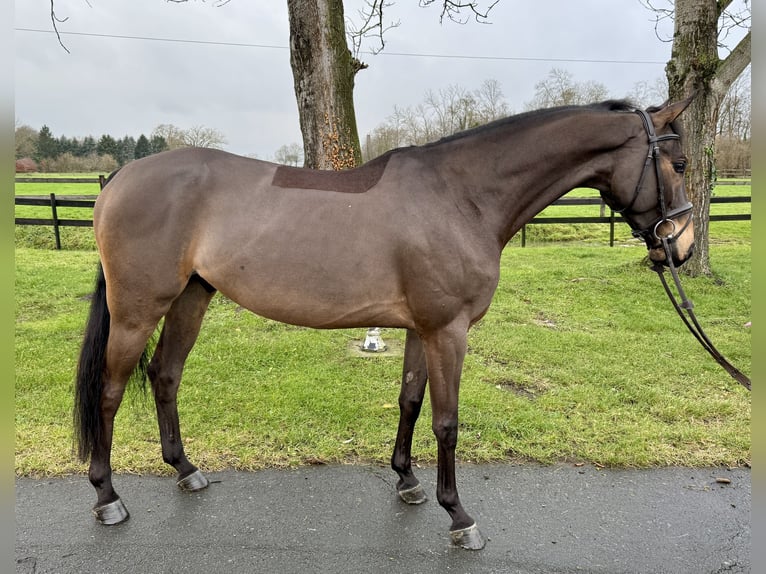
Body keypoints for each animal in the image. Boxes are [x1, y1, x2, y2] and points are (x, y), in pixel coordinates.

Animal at [74, 97, 695, 550]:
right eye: (681, 164)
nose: (681, 246)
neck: (461, 197)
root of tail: (120, 178)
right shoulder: (448, 330)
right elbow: (447, 421)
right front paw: (459, 516)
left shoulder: (423, 329)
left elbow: (411, 402)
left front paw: (408, 482)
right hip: (137, 309)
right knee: (110, 391)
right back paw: (107, 497)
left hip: (191, 298)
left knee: (164, 374)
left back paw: (185, 469)